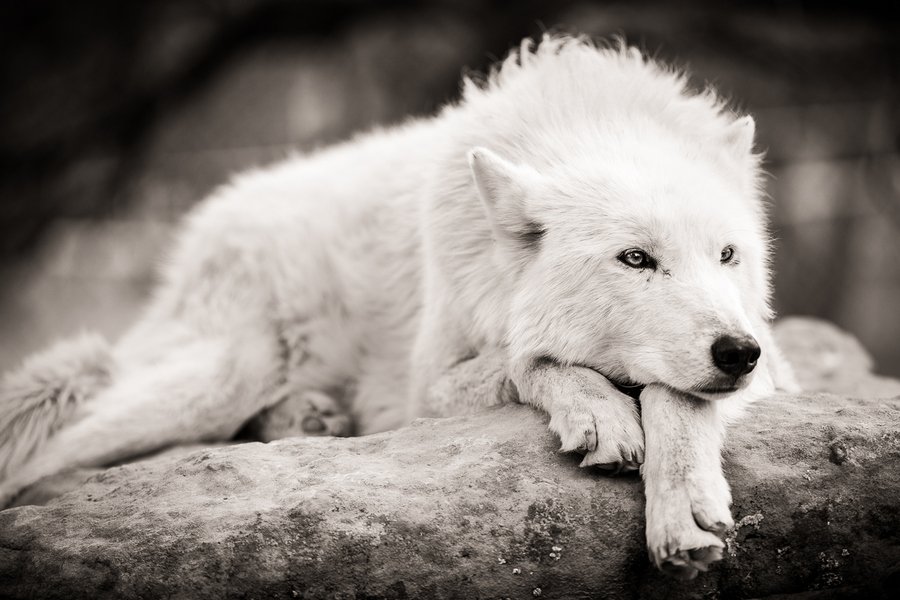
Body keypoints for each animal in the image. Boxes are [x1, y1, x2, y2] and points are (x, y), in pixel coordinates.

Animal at [0, 36, 796, 577]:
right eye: (636, 259)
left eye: (728, 256)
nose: (737, 353)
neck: (587, 109)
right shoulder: (426, 386)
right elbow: (529, 361)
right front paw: (601, 410)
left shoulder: (770, 365)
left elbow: (678, 400)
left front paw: (684, 506)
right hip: (226, 372)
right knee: (58, 446)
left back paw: (309, 417)